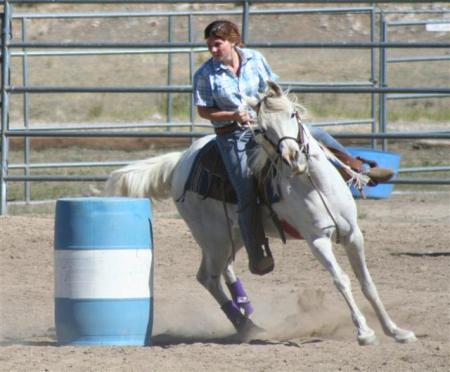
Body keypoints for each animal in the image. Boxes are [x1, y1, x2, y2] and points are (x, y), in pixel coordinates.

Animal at [102, 81, 414, 346]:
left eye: (292, 114)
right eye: (263, 128)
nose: (293, 158)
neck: (315, 184)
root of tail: (180, 161)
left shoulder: (352, 234)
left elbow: (367, 283)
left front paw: (396, 331)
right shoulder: (317, 240)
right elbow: (342, 280)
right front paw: (364, 333)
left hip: (235, 235)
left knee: (224, 270)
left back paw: (247, 311)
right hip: (214, 239)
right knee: (208, 277)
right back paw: (247, 326)